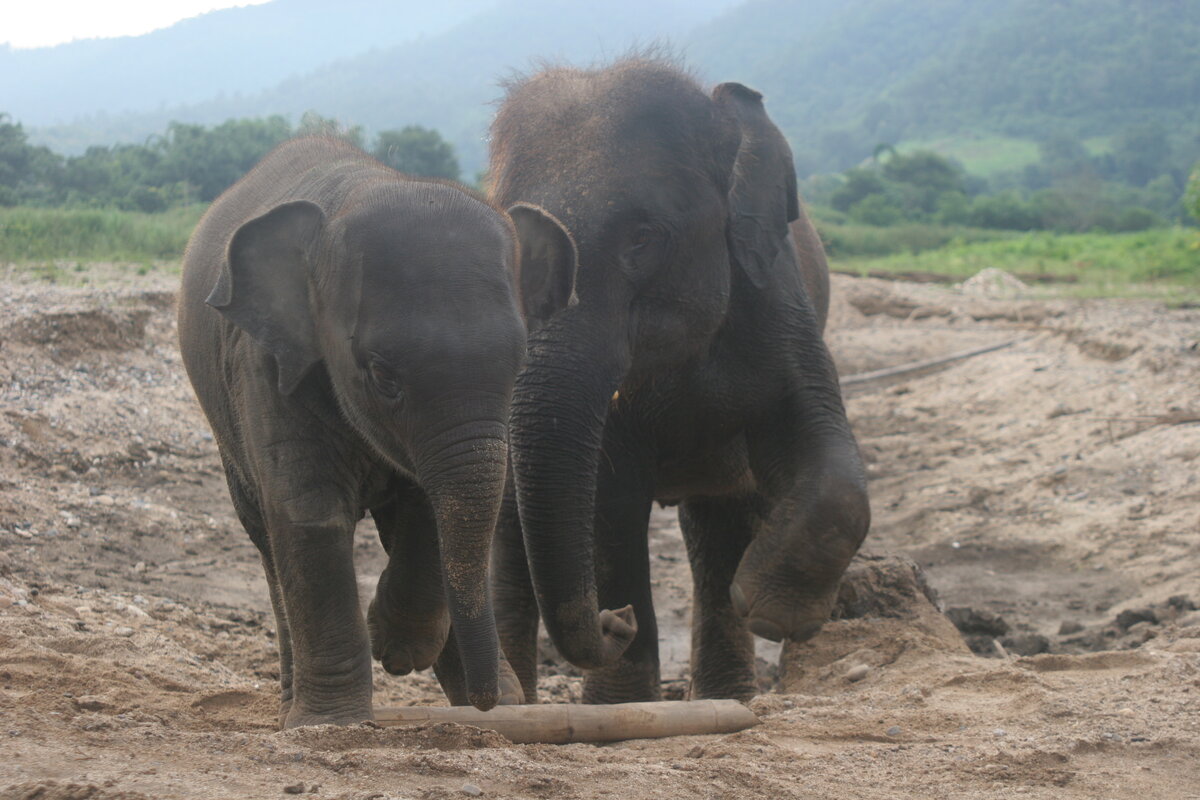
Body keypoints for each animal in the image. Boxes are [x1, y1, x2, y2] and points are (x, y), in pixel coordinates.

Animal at [175, 136, 576, 724]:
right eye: (383, 375)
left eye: (520, 366)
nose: (485, 704)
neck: (357, 190)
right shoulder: (265, 365)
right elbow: (308, 509)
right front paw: (331, 722)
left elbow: (429, 506)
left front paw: (398, 649)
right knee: (267, 540)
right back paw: (293, 710)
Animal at [487, 59, 873, 705]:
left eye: (642, 236)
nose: (613, 620)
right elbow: (608, 502)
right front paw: (621, 705)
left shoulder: (776, 300)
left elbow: (825, 453)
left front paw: (769, 611)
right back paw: (512, 701)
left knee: (718, 524)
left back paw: (727, 692)